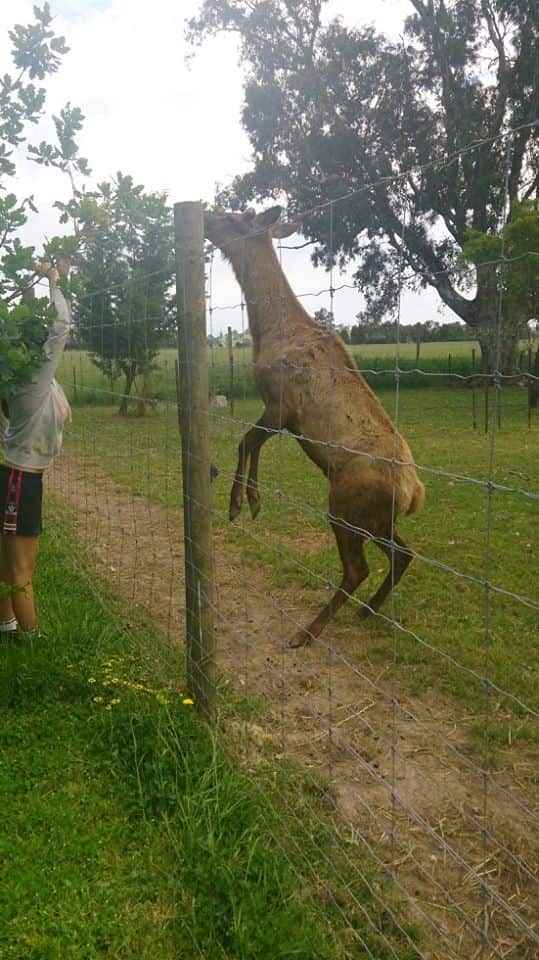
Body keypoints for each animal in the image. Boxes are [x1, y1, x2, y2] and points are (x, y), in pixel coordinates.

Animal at [204, 207, 425, 648]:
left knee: (358, 568)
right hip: (378, 519)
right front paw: (253, 502)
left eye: (235, 217)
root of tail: (414, 495)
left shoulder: (282, 406)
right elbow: (251, 444)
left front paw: (239, 503)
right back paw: (367, 611)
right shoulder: (281, 415)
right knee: (404, 554)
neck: (266, 333)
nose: (203, 215)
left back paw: (308, 631)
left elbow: (245, 442)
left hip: (345, 504)